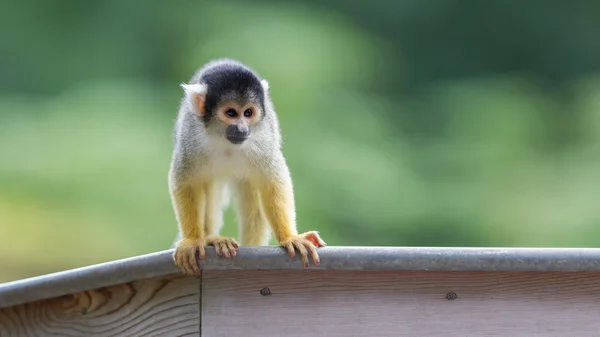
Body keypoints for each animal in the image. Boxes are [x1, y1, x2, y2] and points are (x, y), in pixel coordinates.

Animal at [169, 57, 328, 272]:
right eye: (231, 112)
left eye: (248, 112)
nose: (243, 129)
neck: (224, 139)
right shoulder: (190, 136)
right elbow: (186, 182)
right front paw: (193, 240)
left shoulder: (263, 140)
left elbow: (273, 182)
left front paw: (289, 237)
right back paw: (211, 238)